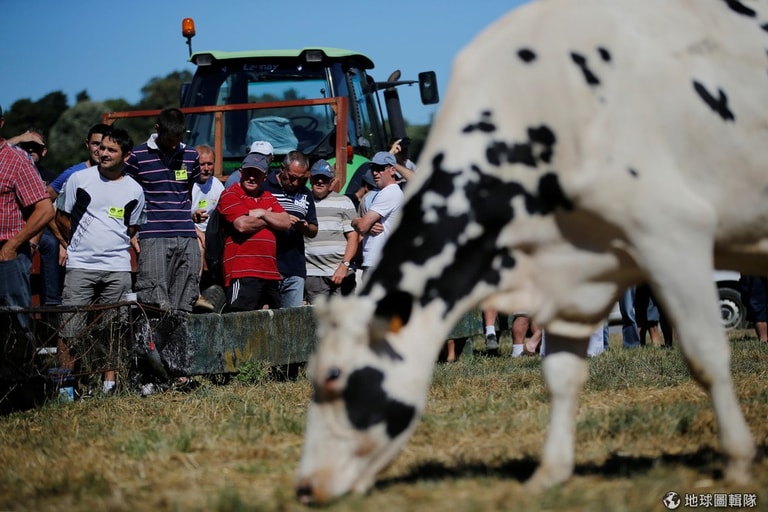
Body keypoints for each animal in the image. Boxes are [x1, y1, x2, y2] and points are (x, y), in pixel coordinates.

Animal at [294, 0, 760, 504]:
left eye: (334, 376)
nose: (304, 487)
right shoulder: (569, 276)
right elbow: (561, 373)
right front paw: (550, 473)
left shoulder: (672, 232)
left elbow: (706, 355)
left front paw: (738, 461)